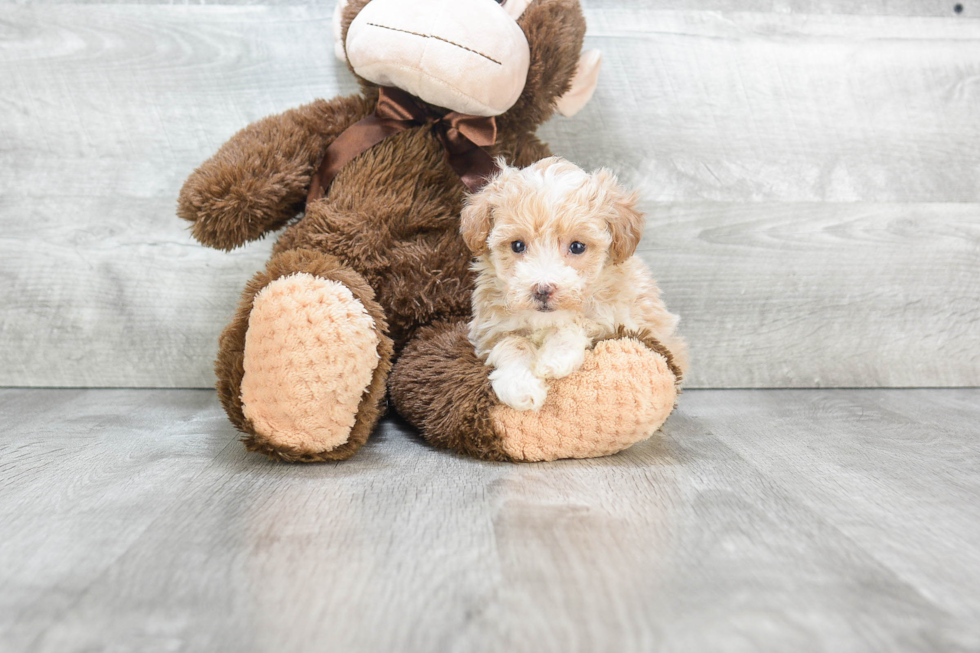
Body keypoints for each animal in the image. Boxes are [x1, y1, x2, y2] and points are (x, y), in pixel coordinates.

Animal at [462, 156, 684, 410]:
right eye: (517, 245)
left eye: (577, 246)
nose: (543, 290)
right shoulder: (489, 329)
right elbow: (512, 342)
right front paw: (521, 387)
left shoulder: (615, 320)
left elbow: (578, 323)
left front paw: (554, 358)